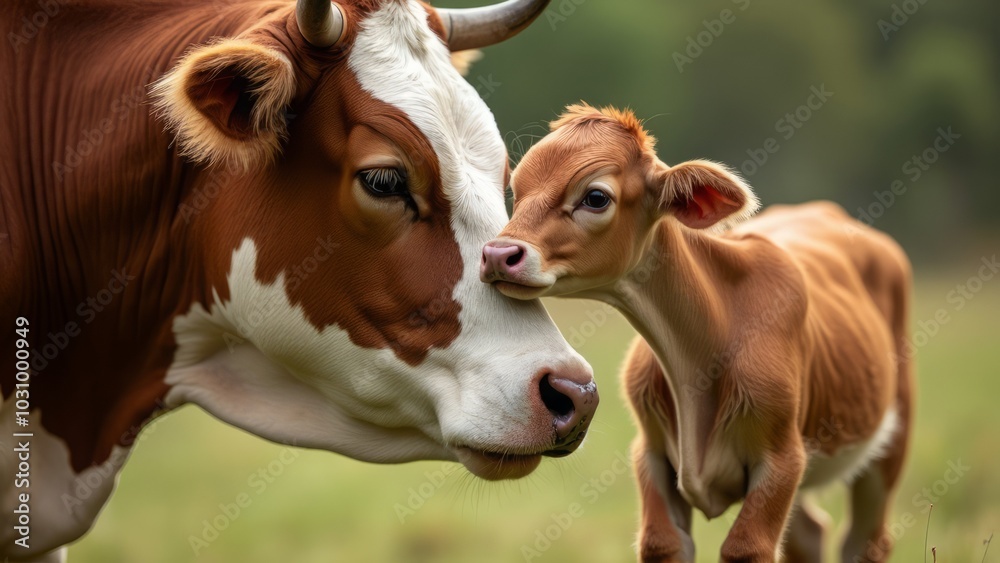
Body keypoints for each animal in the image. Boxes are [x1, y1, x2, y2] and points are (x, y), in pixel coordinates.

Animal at [481, 104, 914, 563]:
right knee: (811, 533)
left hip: (891, 438)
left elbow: (747, 547)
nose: (498, 254)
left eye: (595, 197)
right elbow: (661, 541)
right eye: (517, 190)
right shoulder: (651, 454)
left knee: (865, 541)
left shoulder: (782, 458)